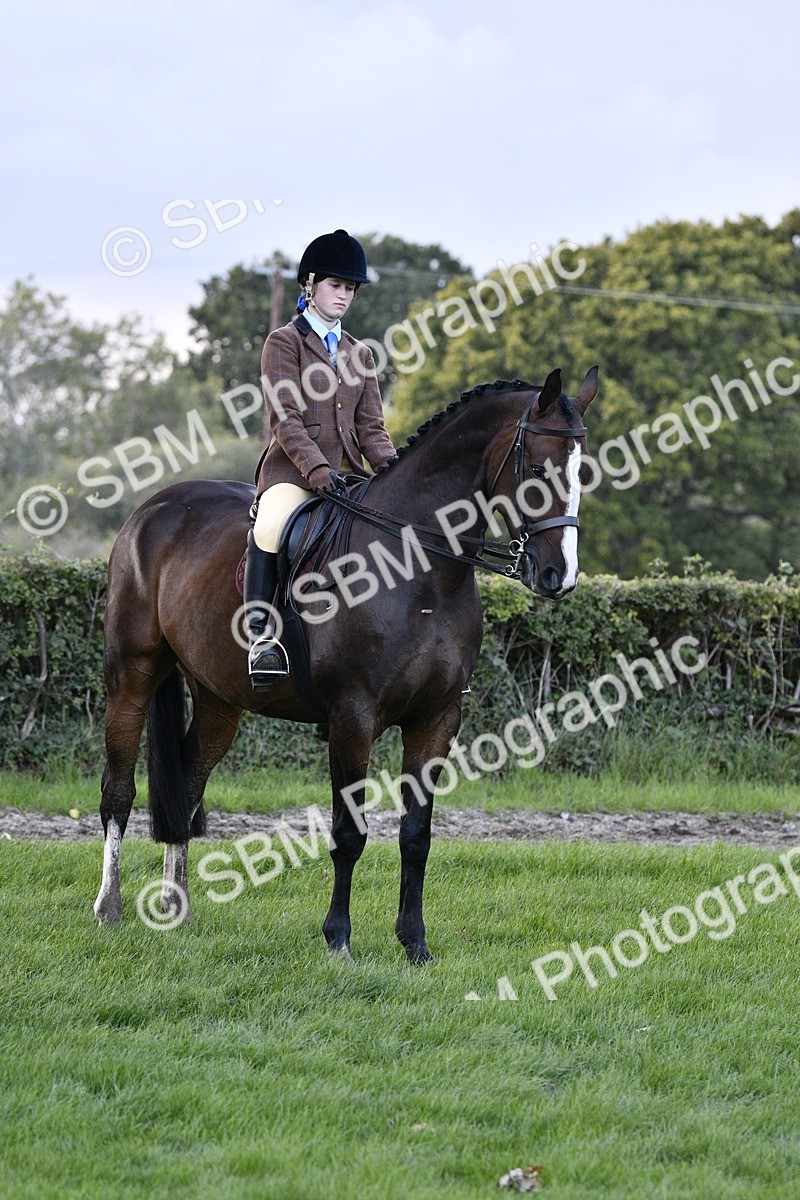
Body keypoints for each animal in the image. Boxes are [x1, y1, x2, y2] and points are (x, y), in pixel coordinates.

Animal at [93, 365, 598, 962]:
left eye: (581, 472)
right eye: (538, 468)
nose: (559, 577)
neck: (419, 568)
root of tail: (152, 509)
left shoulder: (436, 719)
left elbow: (416, 835)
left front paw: (415, 944)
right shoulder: (352, 717)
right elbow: (349, 833)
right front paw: (338, 940)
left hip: (220, 698)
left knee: (189, 784)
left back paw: (176, 908)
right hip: (133, 674)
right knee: (118, 791)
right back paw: (109, 907)